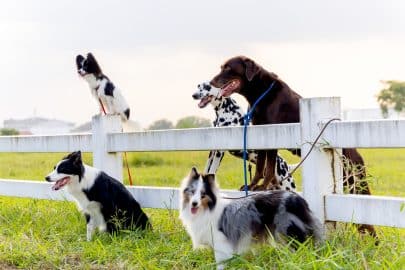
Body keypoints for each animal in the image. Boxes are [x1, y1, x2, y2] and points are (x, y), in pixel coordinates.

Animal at [210, 55, 374, 236]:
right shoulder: (260, 134)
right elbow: (260, 167)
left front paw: (263, 187)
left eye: (228, 68)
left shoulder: (272, 135)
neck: (259, 92)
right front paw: (252, 186)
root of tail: (359, 158)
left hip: (353, 182)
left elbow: (268, 169)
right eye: (221, 67)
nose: (211, 82)